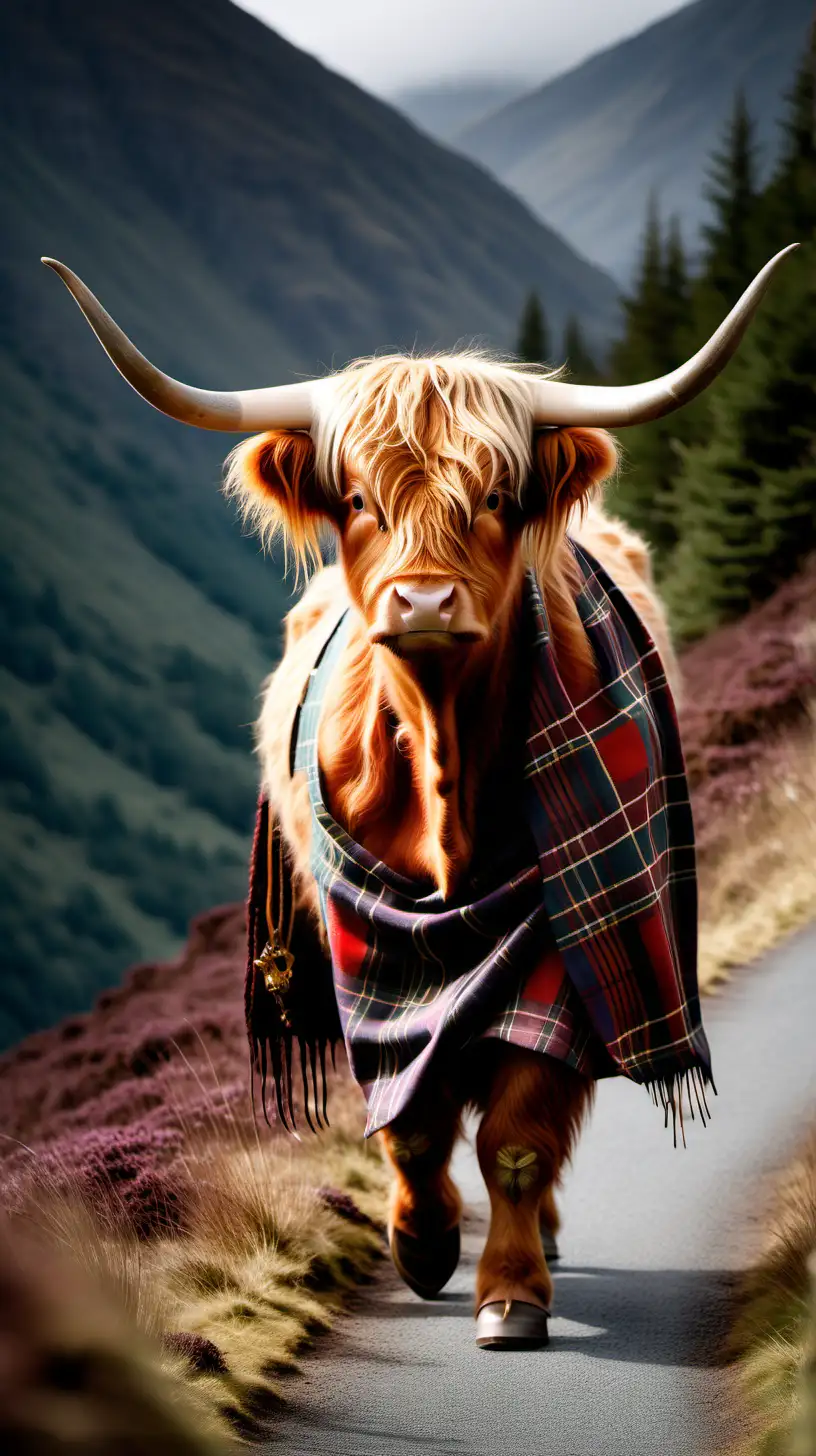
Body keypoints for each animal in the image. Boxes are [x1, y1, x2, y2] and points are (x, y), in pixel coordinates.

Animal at [44, 244, 798, 1345]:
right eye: (357, 498)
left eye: (496, 497)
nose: (426, 599)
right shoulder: (372, 963)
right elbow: (410, 1119)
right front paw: (423, 1243)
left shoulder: (551, 965)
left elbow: (517, 1133)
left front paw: (511, 1293)